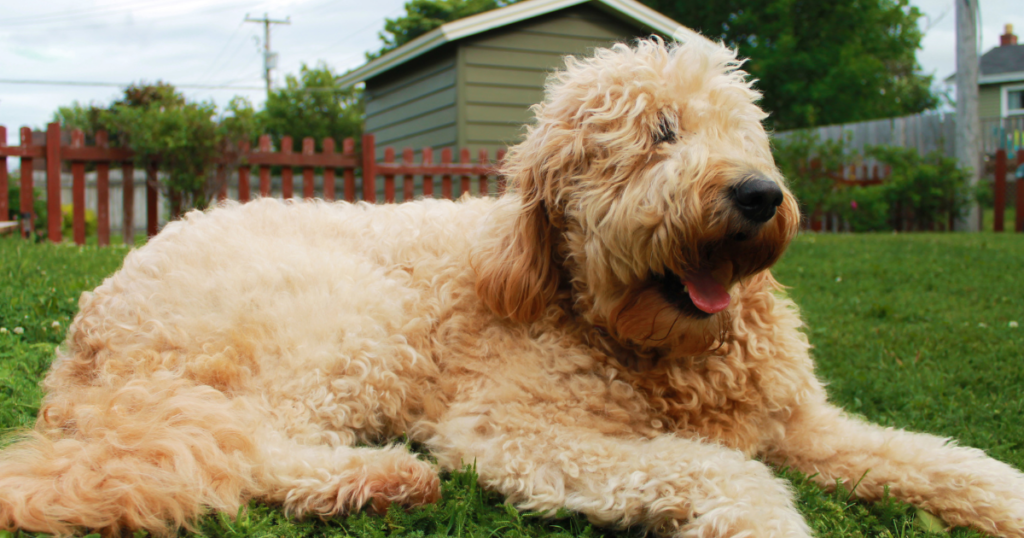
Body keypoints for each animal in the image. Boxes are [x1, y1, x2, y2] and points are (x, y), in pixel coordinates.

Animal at [2, 37, 1024, 536]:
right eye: (658, 134)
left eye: (744, 130)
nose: (758, 194)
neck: (653, 347)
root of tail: (92, 332)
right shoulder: (512, 431)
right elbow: (716, 468)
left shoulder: (805, 424)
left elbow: (934, 456)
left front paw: (1000, 499)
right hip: (342, 324)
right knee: (249, 448)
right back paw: (373, 479)